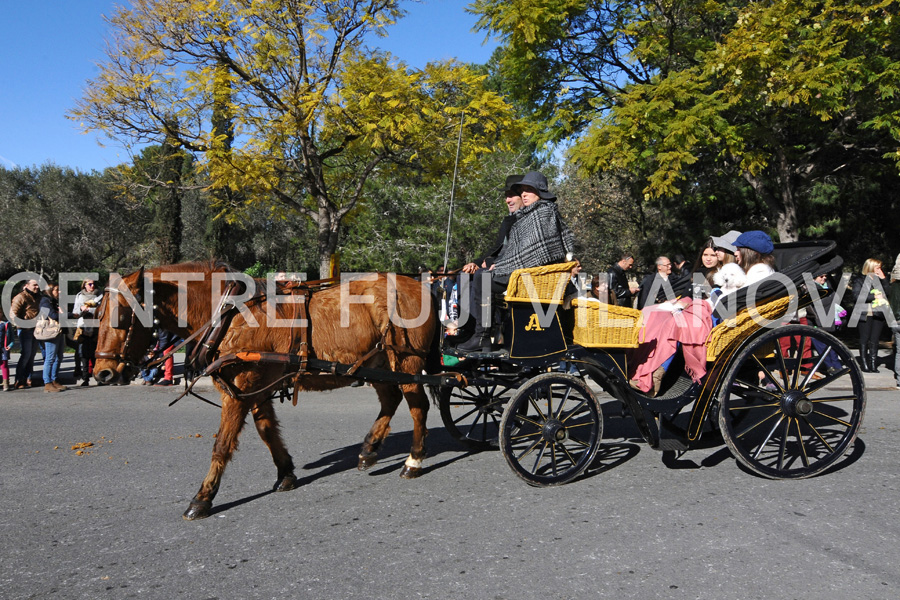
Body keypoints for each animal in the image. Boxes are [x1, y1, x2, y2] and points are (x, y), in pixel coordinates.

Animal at [92, 262, 440, 520]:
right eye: (97, 314)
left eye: (121, 316)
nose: (102, 372)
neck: (227, 314)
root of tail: (421, 287)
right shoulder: (255, 389)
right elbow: (267, 431)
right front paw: (286, 473)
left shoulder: (239, 389)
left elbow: (222, 444)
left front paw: (203, 497)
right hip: (376, 362)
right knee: (391, 399)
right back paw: (369, 450)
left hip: (406, 362)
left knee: (418, 406)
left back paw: (413, 460)